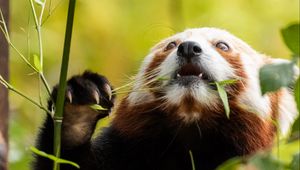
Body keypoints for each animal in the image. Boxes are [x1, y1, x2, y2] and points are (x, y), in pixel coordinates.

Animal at [33, 27, 298, 170]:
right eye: (171, 45)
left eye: (222, 46)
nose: (189, 47)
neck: (192, 126)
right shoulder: (124, 150)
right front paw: (78, 112)